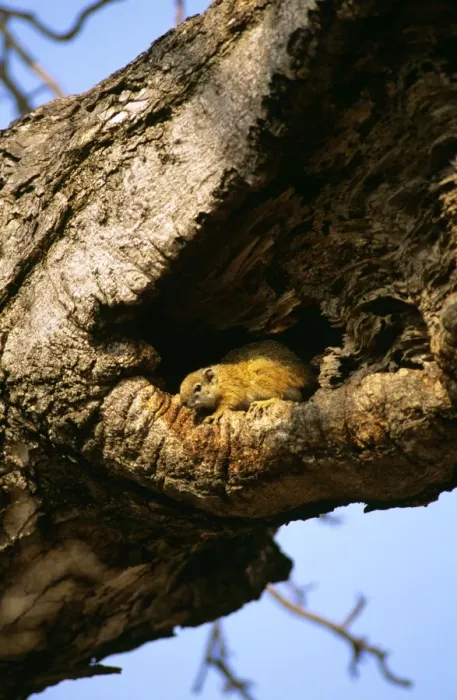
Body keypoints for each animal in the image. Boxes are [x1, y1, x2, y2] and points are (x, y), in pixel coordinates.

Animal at [179, 340, 317, 423]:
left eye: (198, 388)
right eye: (180, 388)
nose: (183, 402)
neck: (220, 381)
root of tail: (301, 375)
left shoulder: (232, 389)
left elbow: (226, 403)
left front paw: (215, 414)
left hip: (263, 381)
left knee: (278, 396)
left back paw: (263, 403)